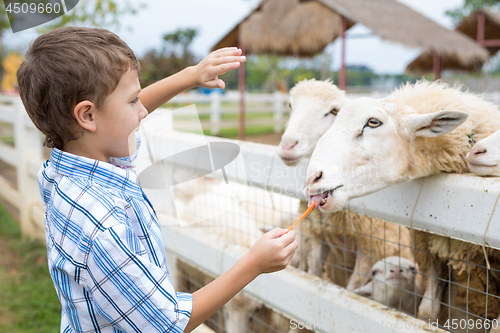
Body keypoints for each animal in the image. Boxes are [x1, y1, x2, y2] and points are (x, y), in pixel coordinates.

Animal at [280, 78, 412, 288]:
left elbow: (353, 287)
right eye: (291, 105)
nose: (287, 145)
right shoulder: (319, 237)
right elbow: (313, 273)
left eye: (333, 111)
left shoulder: (371, 248)